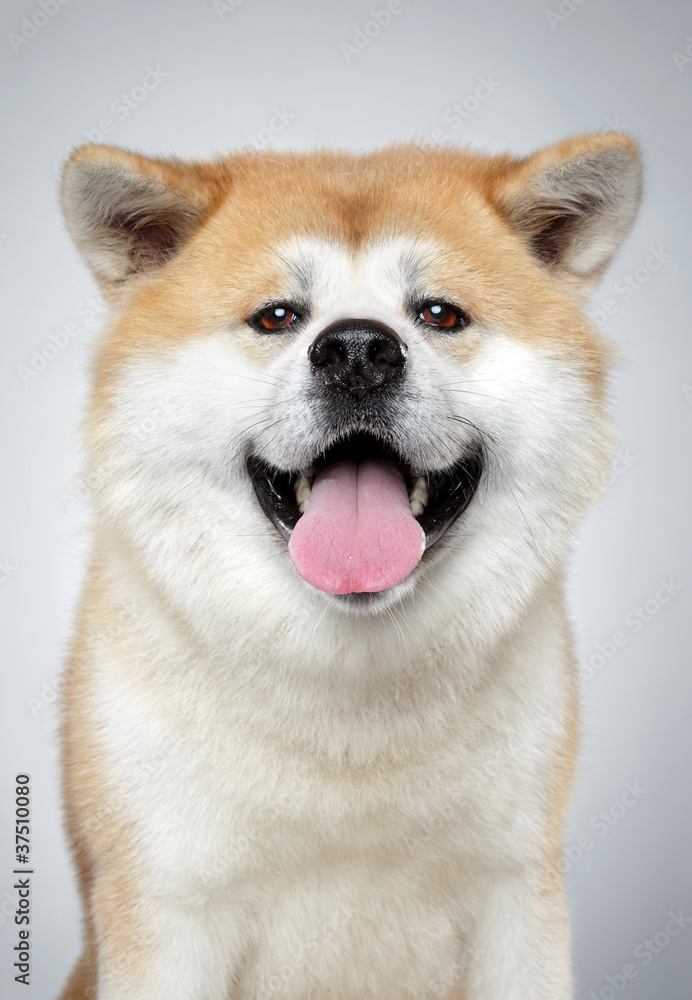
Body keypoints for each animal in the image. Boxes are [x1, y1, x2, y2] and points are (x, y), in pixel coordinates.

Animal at [58, 133, 644, 1000]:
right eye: (277, 316)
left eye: (439, 314)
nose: (359, 351)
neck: (349, 690)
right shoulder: (167, 903)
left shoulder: (515, 895)